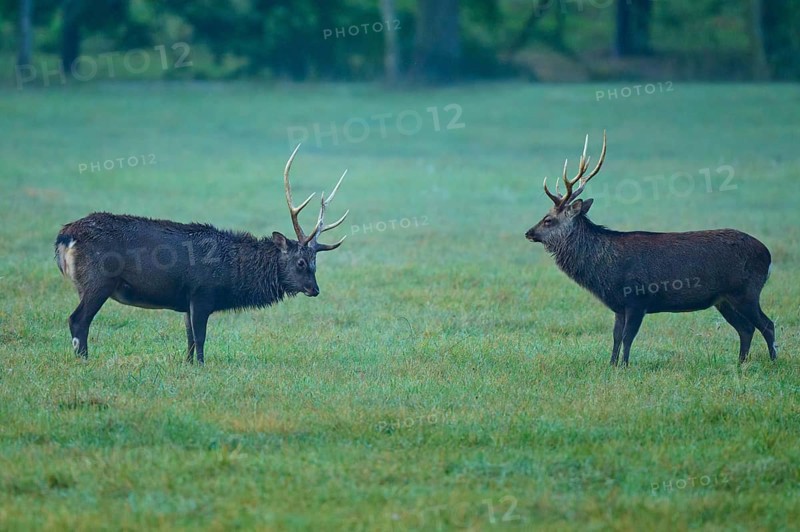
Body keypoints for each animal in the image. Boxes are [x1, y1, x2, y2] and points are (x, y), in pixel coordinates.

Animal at [54, 145, 348, 365]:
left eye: (315, 263)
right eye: (300, 262)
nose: (314, 289)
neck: (232, 276)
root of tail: (64, 237)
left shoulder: (186, 300)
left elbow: (188, 338)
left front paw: (186, 363)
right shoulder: (202, 292)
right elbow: (200, 337)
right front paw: (202, 365)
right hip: (98, 280)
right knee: (77, 320)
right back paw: (84, 360)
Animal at [525, 132, 776, 365]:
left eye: (548, 220)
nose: (528, 232)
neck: (605, 273)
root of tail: (767, 254)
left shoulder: (638, 299)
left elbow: (628, 337)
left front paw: (625, 366)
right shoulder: (619, 306)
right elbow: (616, 337)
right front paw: (612, 365)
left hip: (746, 291)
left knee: (767, 324)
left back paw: (773, 361)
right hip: (723, 299)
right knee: (746, 328)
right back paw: (740, 363)